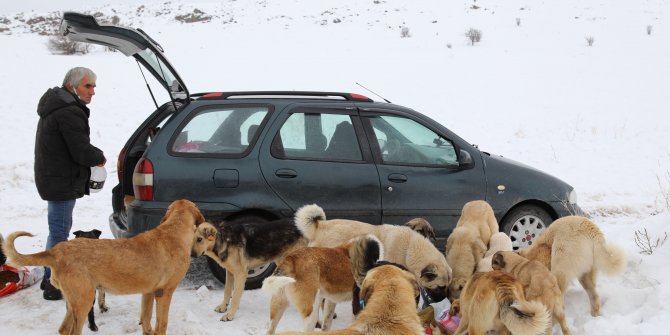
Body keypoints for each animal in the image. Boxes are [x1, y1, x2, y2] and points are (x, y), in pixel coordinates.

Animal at [1, 200, 205, 335]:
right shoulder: (165, 292)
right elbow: (162, 324)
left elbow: (146, 320)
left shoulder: (148, 292)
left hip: (74, 302)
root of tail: (57, 250)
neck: (174, 229)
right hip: (84, 301)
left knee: (63, 329)